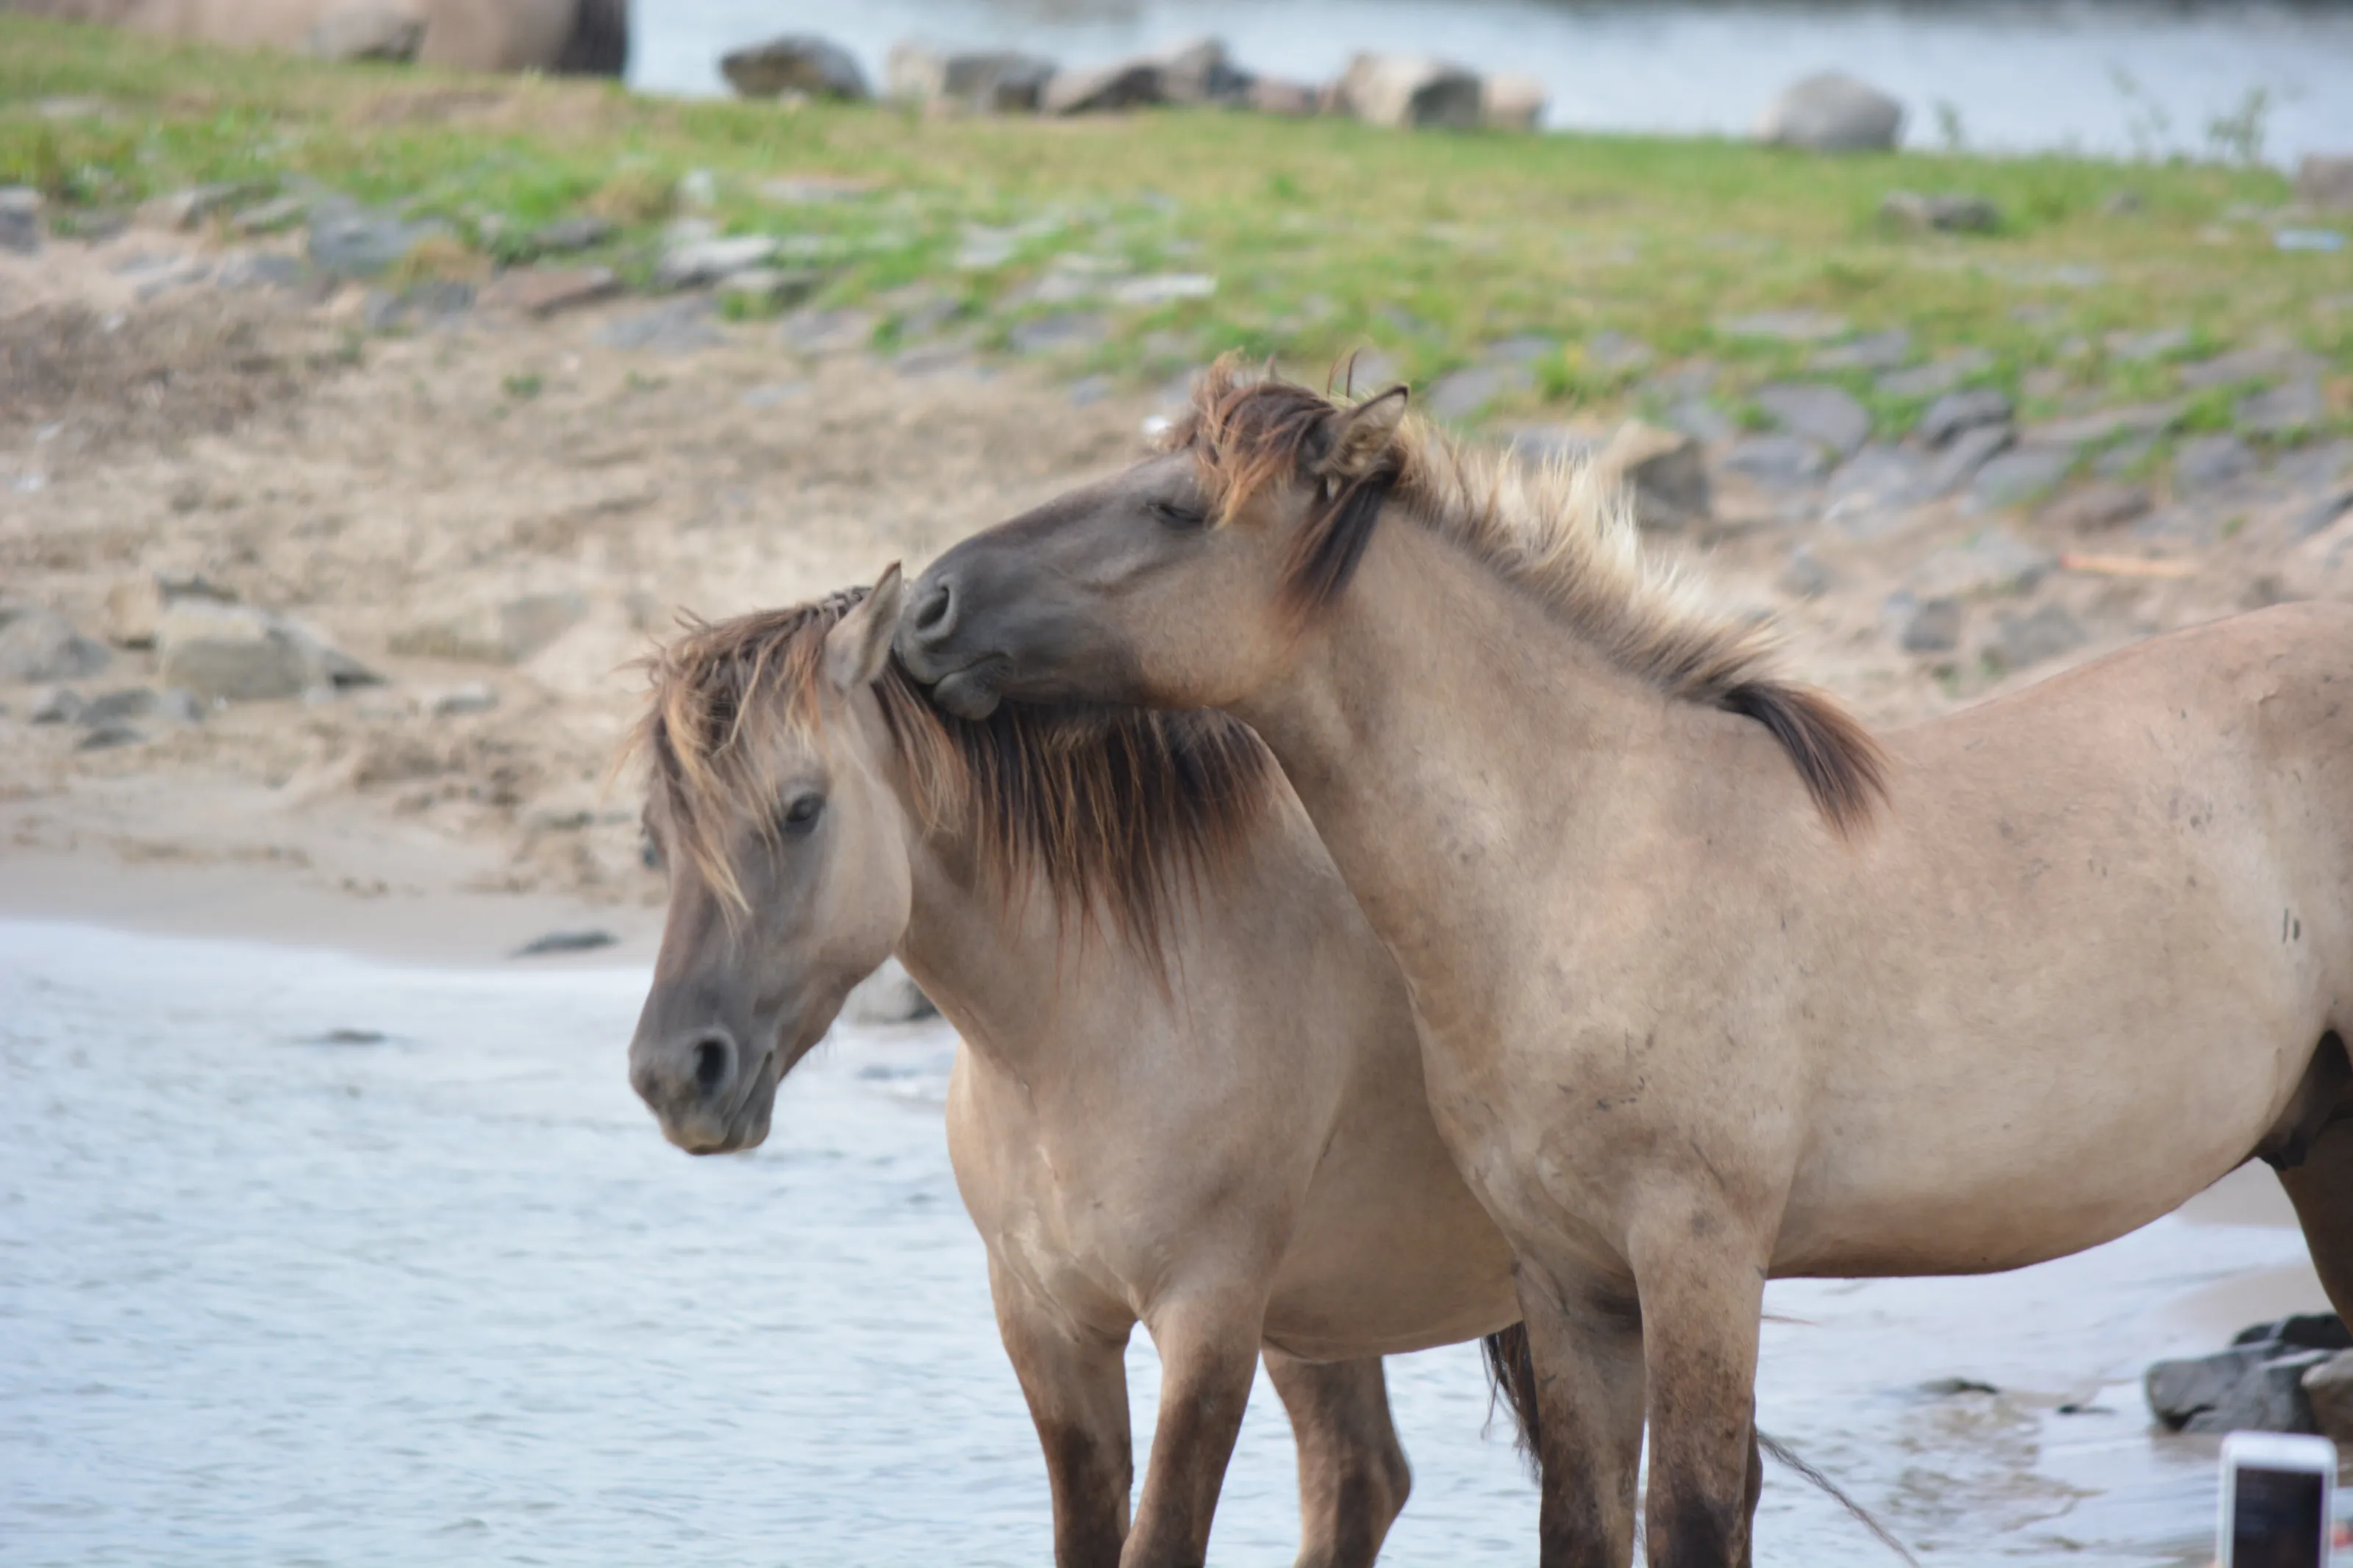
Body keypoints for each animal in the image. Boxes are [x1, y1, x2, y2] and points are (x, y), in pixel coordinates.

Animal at [893, 359, 2353, 1568]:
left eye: (1173, 511)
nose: (925, 608)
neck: (1584, 846)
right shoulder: (1568, 1277)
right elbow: (1584, 1524)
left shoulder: (1699, 1252)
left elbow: (1694, 1514)